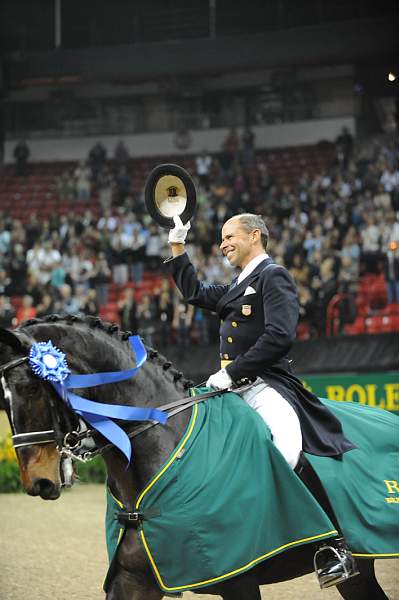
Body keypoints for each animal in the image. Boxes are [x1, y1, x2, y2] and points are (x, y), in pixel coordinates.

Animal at [0, 316, 392, 596]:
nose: (38, 482)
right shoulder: (132, 579)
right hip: (361, 573)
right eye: (3, 400)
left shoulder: (239, 578)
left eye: (32, 388)